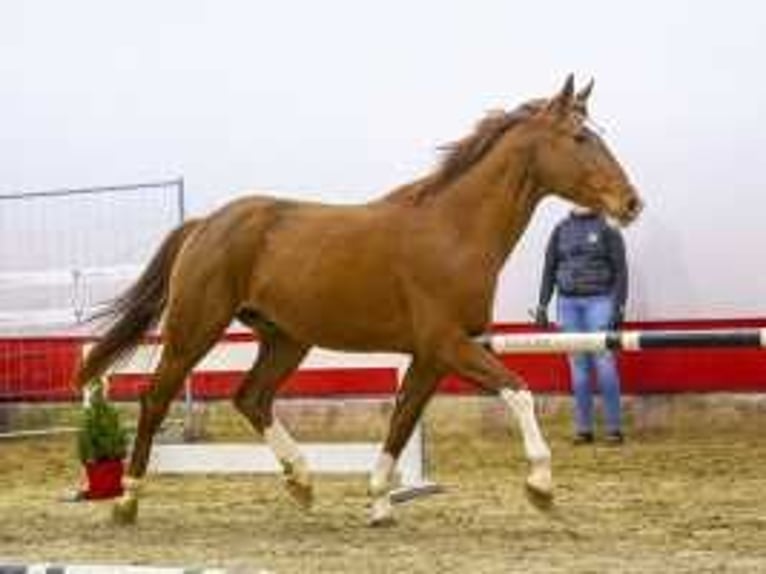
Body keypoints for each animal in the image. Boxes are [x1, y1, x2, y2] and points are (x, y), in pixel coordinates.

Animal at [76, 76, 640, 528]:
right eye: (580, 137)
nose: (631, 202)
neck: (455, 231)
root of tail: (205, 225)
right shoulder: (449, 344)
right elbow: (519, 391)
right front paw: (541, 486)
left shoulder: (433, 356)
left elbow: (403, 419)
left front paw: (380, 503)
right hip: (196, 327)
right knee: (155, 398)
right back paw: (126, 500)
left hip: (286, 338)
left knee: (251, 397)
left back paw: (301, 482)